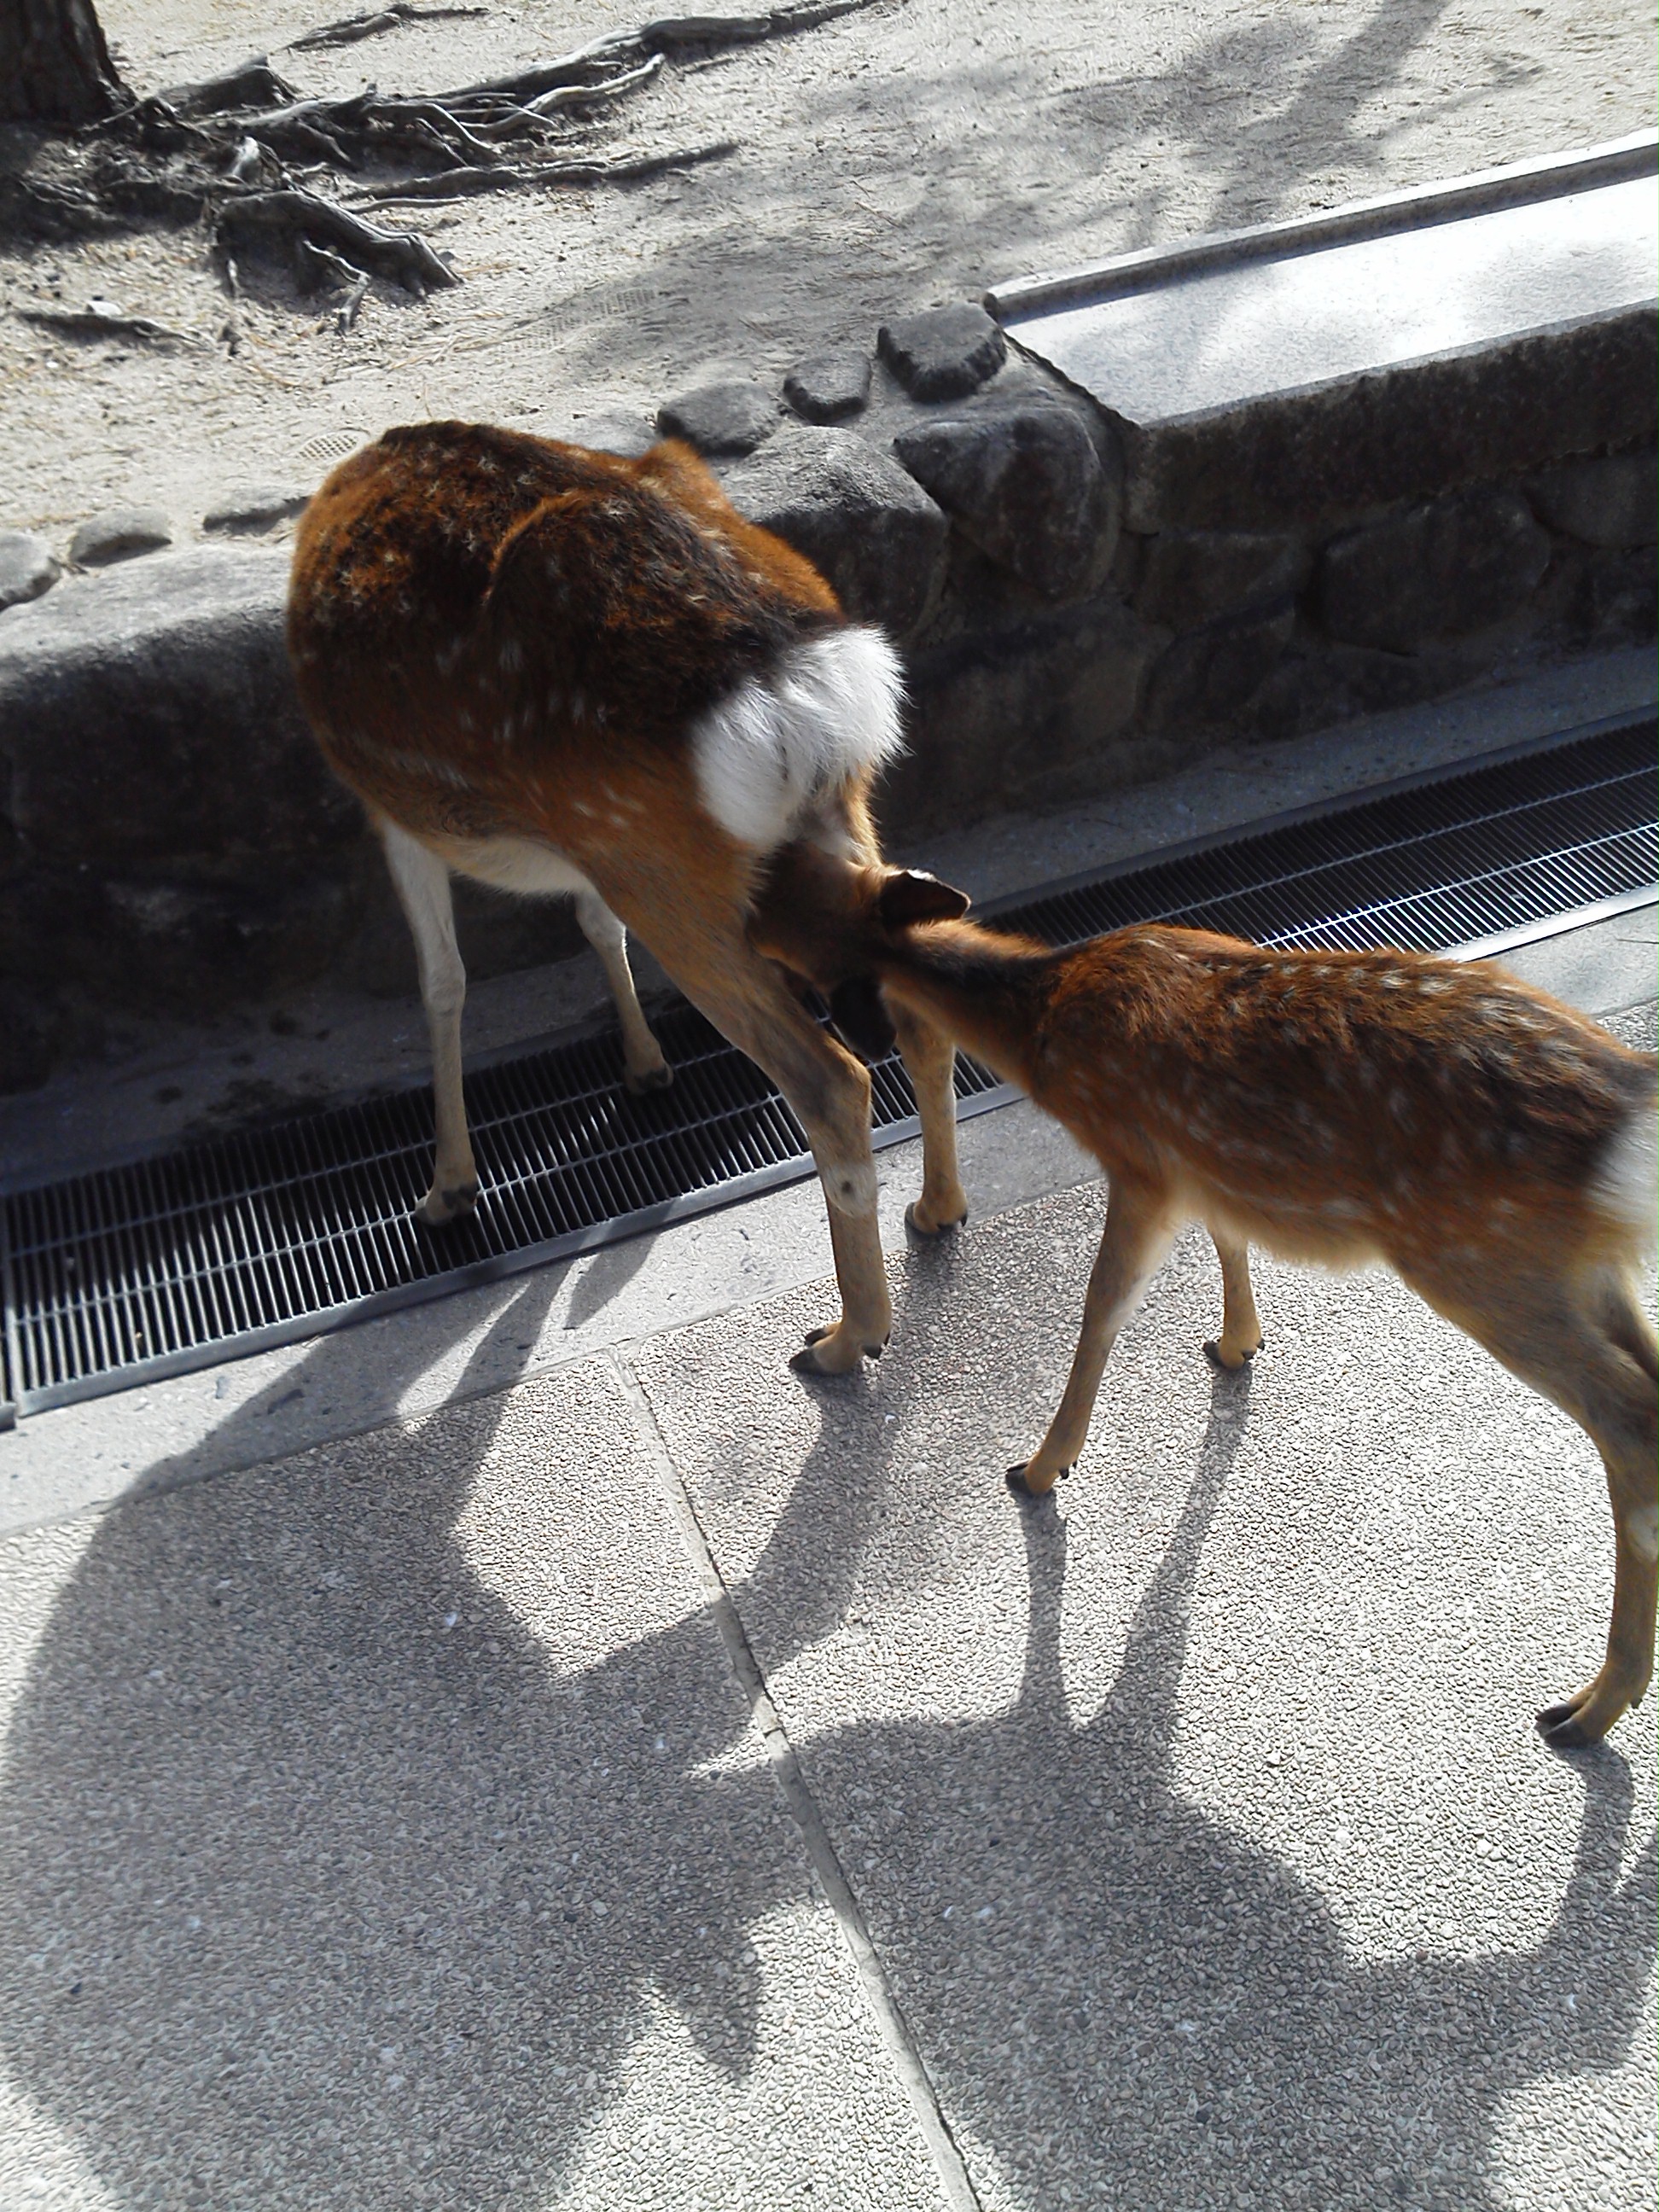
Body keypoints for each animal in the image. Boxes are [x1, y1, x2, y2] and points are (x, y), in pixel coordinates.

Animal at [289, 417, 969, 1362]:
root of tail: (791, 677)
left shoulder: (393, 812)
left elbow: (443, 984)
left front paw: (447, 1187)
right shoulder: (581, 856)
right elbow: (590, 924)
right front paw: (645, 1066)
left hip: (658, 859)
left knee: (831, 1083)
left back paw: (845, 1337)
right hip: (820, 809)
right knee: (918, 1011)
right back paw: (936, 1210)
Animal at [752, 849, 1659, 1743]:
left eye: (783, 904)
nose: (746, 930)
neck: (1048, 1016)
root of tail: (1625, 1122)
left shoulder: (1139, 1158)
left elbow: (1101, 1308)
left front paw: (1041, 1468)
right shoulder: (1196, 1166)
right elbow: (1226, 1237)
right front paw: (1235, 1343)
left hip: (1486, 1263)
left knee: (1627, 1419)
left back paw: (1588, 1710)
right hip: (1584, 1273)